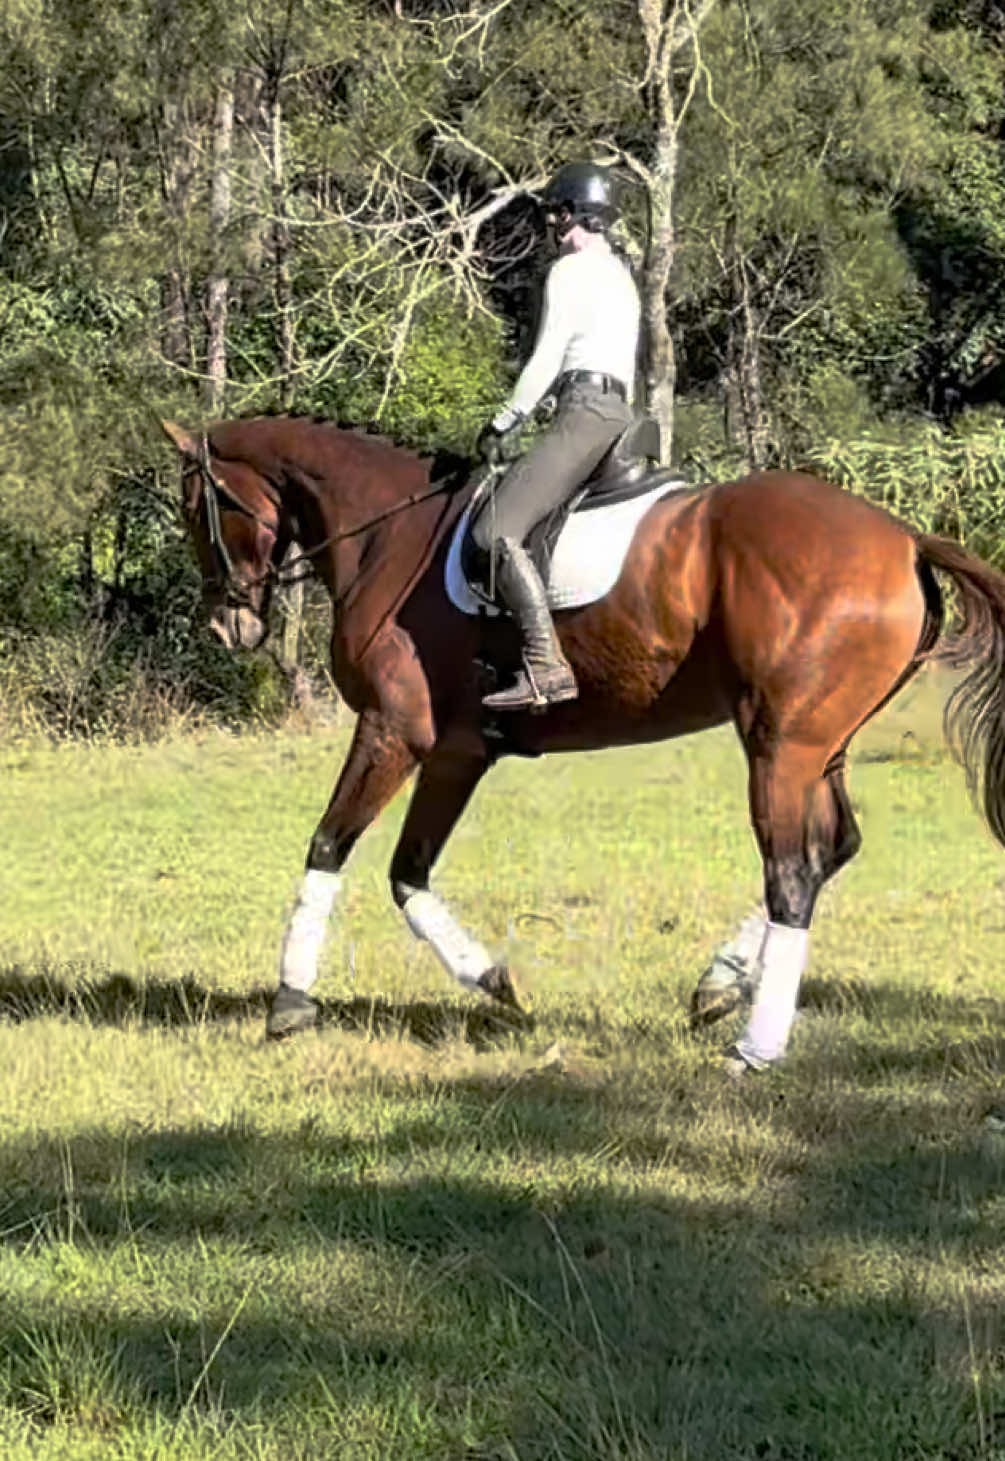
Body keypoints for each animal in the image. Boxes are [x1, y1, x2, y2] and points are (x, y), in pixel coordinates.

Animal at [160, 414, 1005, 1072]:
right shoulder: (458, 751)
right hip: (819, 746)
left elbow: (329, 845)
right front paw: (492, 982)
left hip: (779, 747)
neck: (386, 535)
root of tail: (903, 538)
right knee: (834, 848)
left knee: (792, 874)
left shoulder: (393, 729)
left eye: (197, 507)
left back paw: (753, 1048)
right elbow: (408, 873)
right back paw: (718, 983)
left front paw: (289, 1001)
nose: (227, 626)